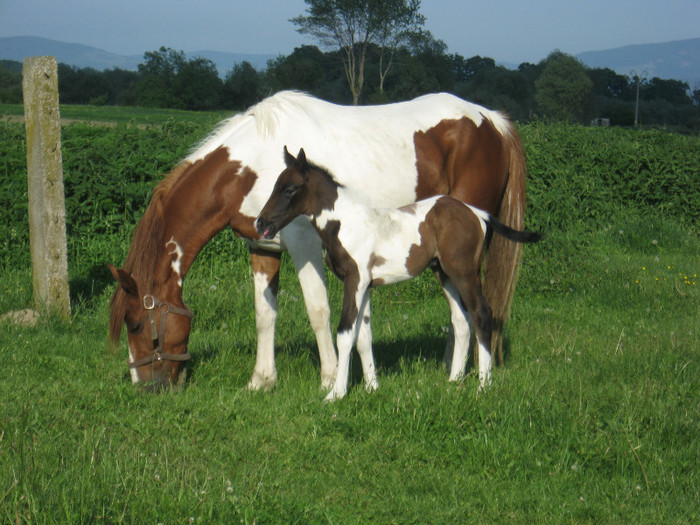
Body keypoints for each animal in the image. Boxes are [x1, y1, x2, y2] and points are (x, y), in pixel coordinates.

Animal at [108, 88, 524, 386]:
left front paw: (330, 377)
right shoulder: (262, 246)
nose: (145, 386)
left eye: (136, 324)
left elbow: (318, 309)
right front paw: (262, 381)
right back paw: (450, 369)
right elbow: (264, 313)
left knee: (473, 306)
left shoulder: (303, 244)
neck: (250, 166)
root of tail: (493, 121)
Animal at [258, 147, 540, 402]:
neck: (344, 223)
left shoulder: (355, 280)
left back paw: (484, 386)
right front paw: (372, 388)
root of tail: (476, 213)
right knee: (461, 320)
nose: (261, 223)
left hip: (464, 272)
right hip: (445, 274)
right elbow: (364, 336)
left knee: (482, 313)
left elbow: (346, 333)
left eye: (290, 189)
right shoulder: (366, 285)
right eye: (274, 186)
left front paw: (336, 394)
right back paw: (453, 382)